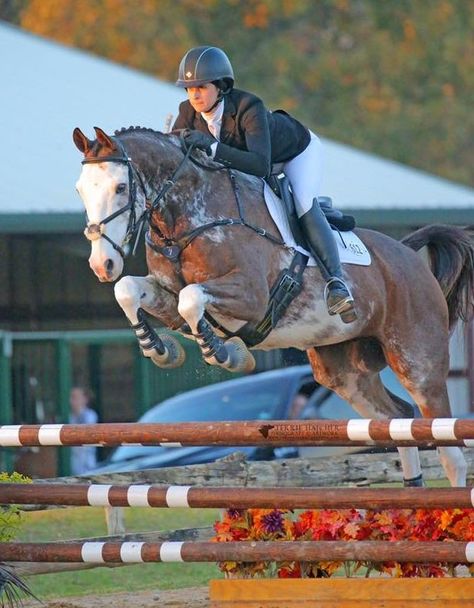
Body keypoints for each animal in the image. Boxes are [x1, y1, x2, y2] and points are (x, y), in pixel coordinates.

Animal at [73, 126, 474, 486]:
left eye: (120, 187)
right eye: (80, 190)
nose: (101, 265)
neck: (188, 219)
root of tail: (408, 254)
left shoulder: (251, 297)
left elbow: (193, 299)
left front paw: (225, 354)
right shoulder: (167, 297)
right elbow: (129, 290)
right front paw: (161, 349)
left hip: (417, 363)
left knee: (447, 448)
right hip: (345, 373)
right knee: (396, 421)